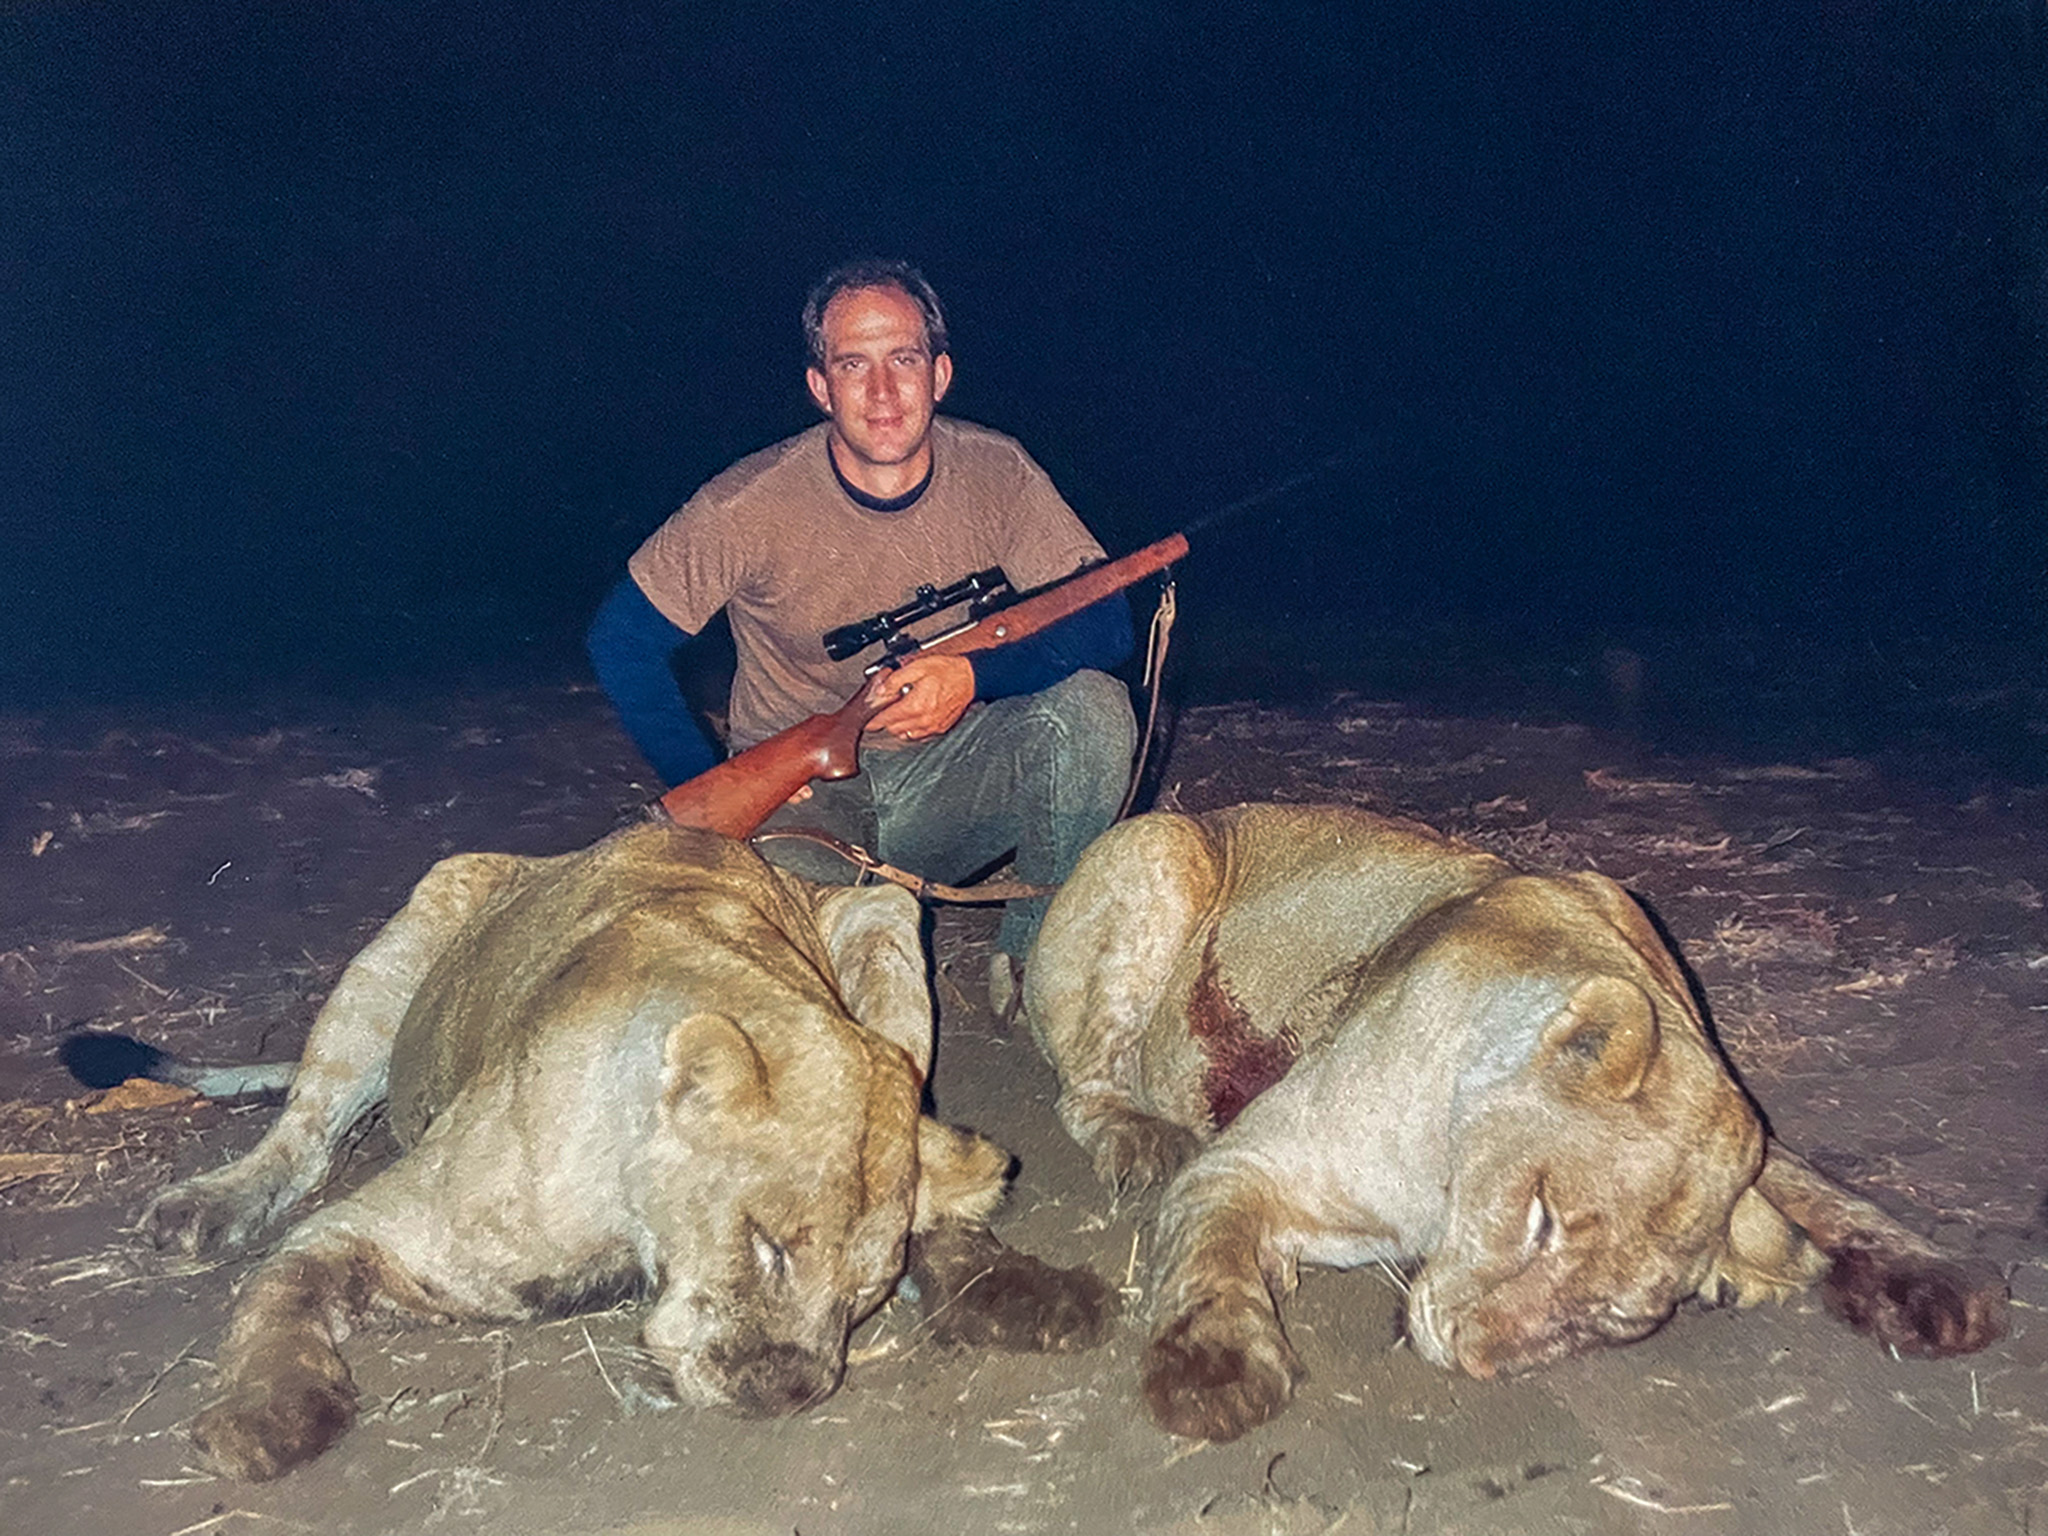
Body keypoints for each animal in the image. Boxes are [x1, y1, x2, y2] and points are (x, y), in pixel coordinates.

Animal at [96, 823, 1114, 1482]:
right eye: (766, 1246)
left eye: (861, 1296)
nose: (788, 1393)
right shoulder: (369, 1230)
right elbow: (277, 1296)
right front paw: (263, 1416)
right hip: (402, 948)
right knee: (303, 1137)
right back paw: (206, 1204)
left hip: (885, 913)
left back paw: (1021, 1290)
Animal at [1024, 806, 1998, 1441]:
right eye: (1540, 1217)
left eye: (1617, 1321)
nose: (1468, 1358)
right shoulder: (1245, 1164)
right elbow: (1211, 1260)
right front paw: (1214, 1369)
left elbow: (1809, 1180)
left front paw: (1930, 1277)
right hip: (1162, 854)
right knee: (1086, 1085)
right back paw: (1139, 1135)